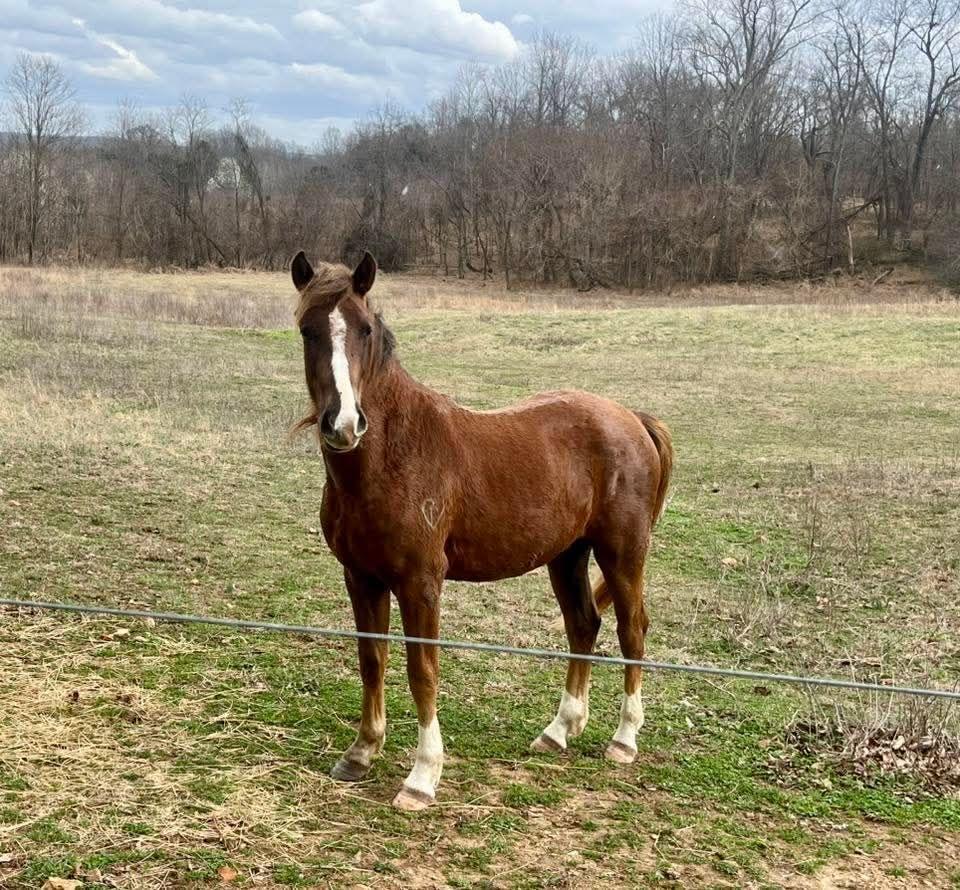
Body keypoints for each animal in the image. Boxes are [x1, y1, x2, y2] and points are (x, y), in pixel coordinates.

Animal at [290, 250, 673, 811]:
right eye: (308, 330)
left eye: (364, 329)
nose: (343, 424)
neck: (392, 457)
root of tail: (632, 419)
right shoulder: (360, 577)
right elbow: (372, 660)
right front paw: (361, 753)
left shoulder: (421, 583)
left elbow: (422, 671)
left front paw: (422, 777)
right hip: (567, 555)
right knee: (583, 625)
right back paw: (558, 730)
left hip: (622, 553)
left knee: (632, 630)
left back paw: (624, 740)